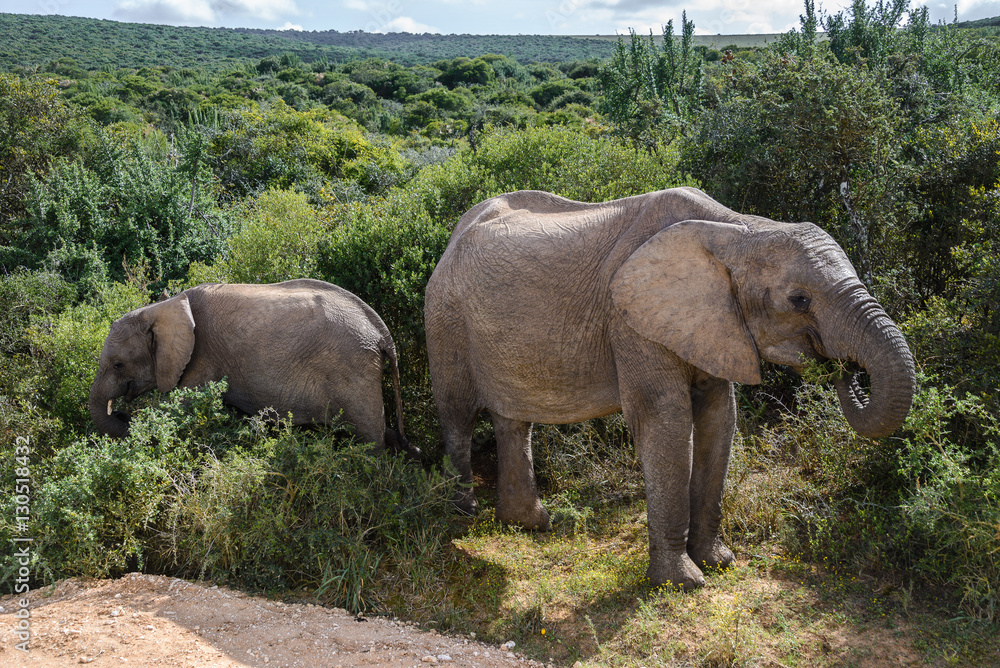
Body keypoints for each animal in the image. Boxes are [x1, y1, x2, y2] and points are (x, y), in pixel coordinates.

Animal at [90, 278, 415, 456]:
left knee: (370, 441)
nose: (120, 412)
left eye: (118, 365)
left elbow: (179, 410)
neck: (164, 307)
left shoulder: (201, 359)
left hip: (354, 367)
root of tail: (381, 333)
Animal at [424, 187, 915, 590]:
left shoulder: (711, 322)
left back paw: (531, 525)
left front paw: (719, 562)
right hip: (445, 316)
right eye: (799, 300)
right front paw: (683, 584)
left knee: (513, 419)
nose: (842, 368)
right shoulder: (630, 320)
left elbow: (720, 418)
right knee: (458, 415)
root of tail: (453, 235)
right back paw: (462, 517)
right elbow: (668, 420)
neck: (738, 229)